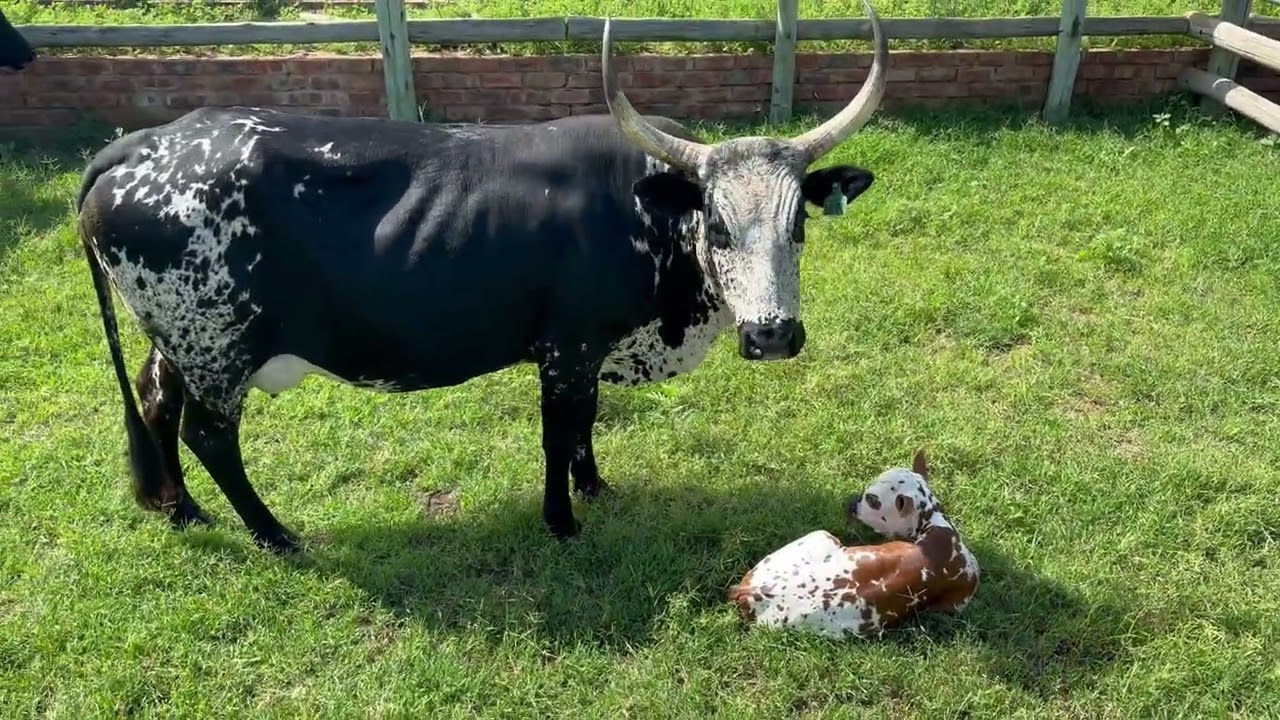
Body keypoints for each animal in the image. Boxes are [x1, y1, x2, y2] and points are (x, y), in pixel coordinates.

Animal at [76, 0, 888, 553]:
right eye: (716, 226)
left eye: (798, 222)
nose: (773, 335)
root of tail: (146, 144)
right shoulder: (566, 349)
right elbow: (560, 433)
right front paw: (562, 520)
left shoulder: (586, 353)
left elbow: (585, 428)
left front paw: (597, 488)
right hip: (217, 347)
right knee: (210, 435)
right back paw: (276, 535)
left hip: (179, 342)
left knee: (156, 403)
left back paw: (183, 510)